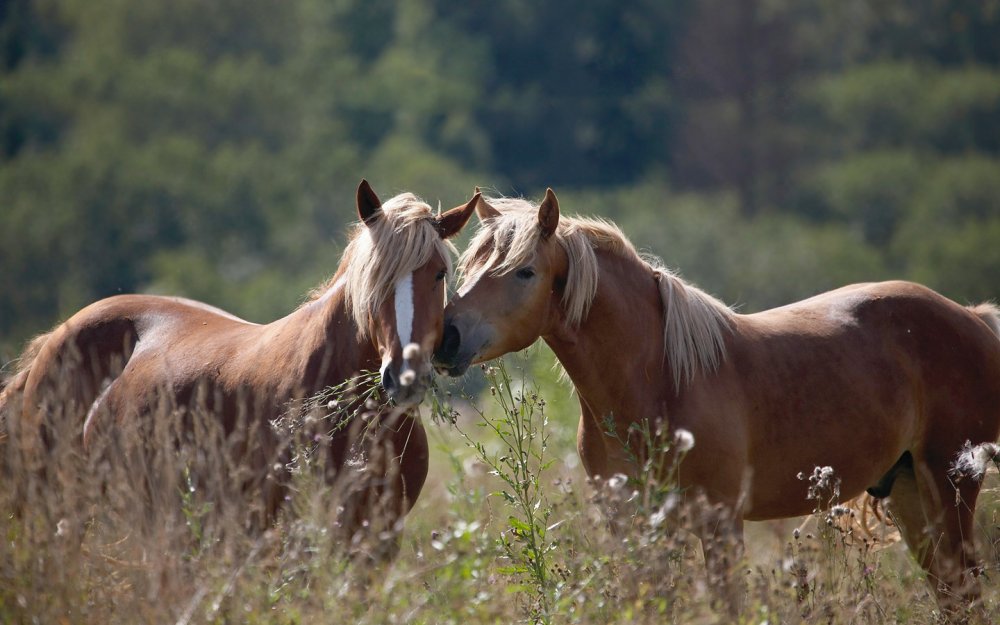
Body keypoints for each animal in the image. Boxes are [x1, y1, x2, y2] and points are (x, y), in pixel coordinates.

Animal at [436, 190, 1000, 608]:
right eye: (469, 266)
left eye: (524, 271)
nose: (446, 338)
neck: (661, 381)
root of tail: (973, 317)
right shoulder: (634, 525)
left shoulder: (720, 524)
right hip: (909, 492)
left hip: (949, 483)